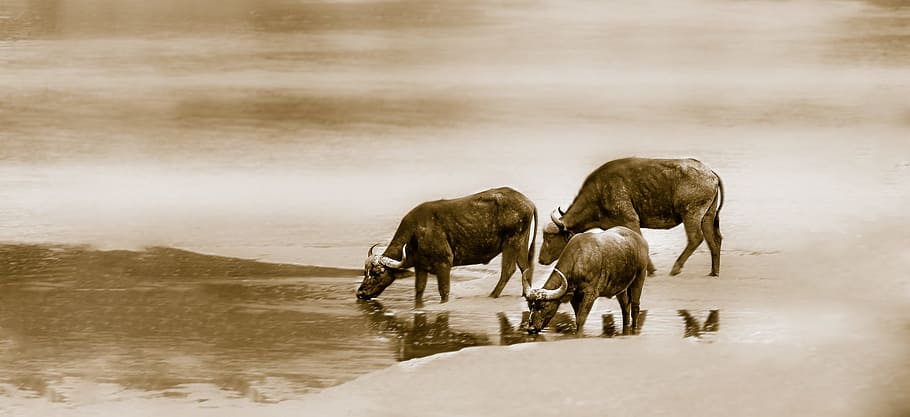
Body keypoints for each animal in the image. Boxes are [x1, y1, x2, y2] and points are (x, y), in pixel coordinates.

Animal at [357, 187, 537, 307]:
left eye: (376, 273)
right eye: (365, 272)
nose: (360, 293)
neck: (416, 233)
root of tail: (528, 202)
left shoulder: (444, 264)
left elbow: (444, 291)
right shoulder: (420, 267)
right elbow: (419, 290)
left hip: (511, 243)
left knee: (508, 270)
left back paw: (492, 295)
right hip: (521, 243)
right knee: (525, 267)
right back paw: (525, 295)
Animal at [541, 157, 724, 276]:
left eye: (549, 238)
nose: (541, 260)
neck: (599, 191)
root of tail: (710, 173)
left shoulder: (631, 221)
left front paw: (650, 270)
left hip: (691, 215)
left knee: (696, 238)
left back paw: (676, 268)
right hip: (707, 216)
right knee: (714, 239)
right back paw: (714, 272)